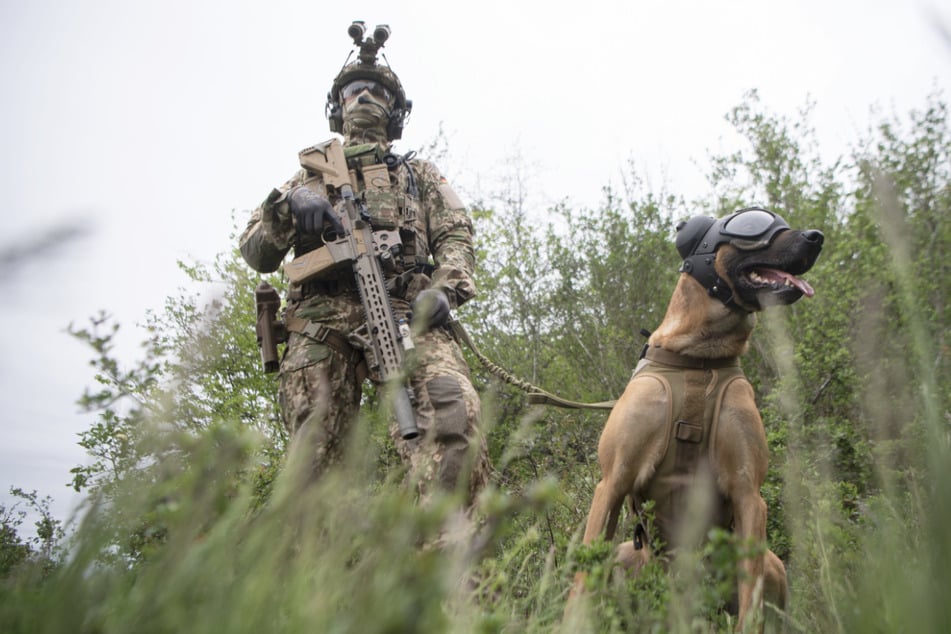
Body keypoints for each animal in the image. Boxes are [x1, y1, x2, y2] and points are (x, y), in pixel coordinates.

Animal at [572, 207, 824, 628]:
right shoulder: (612, 482)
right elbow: (582, 580)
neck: (700, 356)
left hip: (772, 564)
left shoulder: (748, 494)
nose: (816, 236)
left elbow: (750, 602)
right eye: (753, 225)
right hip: (626, 553)